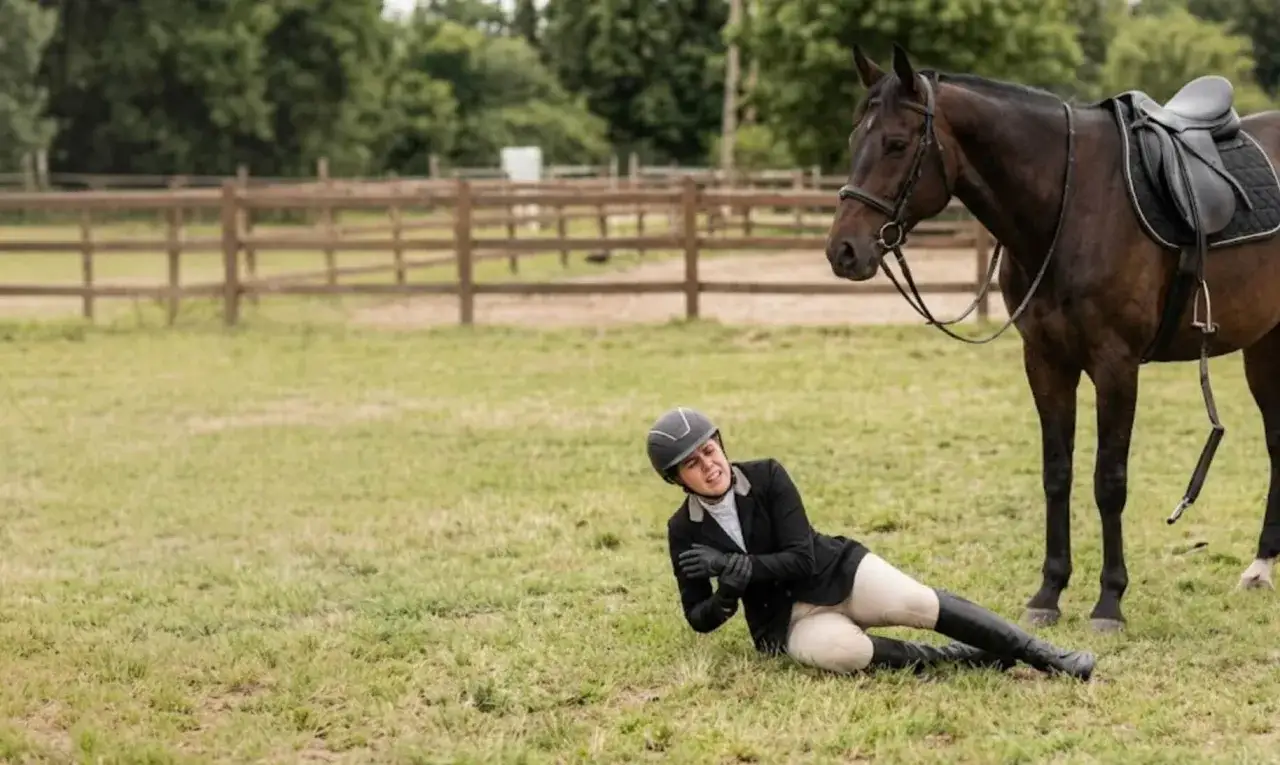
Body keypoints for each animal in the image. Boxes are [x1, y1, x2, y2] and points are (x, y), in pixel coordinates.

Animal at [824, 43, 1280, 632]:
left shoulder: (1115, 365)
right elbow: (1057, 474)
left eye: (897, 144)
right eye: (854, 140)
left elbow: (1109, 480)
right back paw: (1261, 567)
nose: (843, 251)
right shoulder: (1045, 361)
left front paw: (1109, 601)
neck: (1072, 207)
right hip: (1264, 346)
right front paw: (1048, 592)